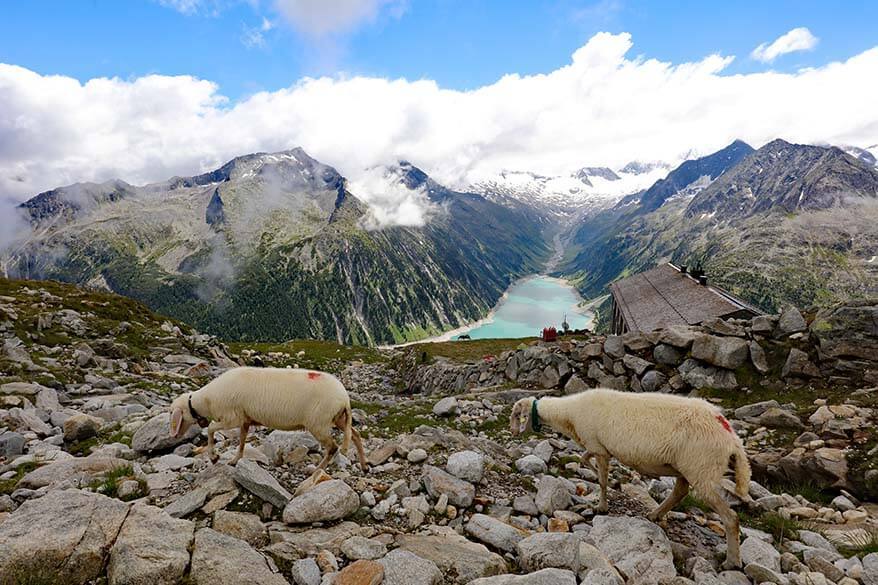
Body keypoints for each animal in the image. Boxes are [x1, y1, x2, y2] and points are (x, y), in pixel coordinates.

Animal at [170, 364, 366, 470]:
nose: (175, 435)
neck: (206, 400)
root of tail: (345, 398)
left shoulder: (231, 418)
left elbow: (211, 429)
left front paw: (214, 457)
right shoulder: (245, 419)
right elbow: (242, 440)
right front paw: (235, 460)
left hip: (319, 423)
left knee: (333, 447)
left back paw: (317, 470)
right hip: (338, 419)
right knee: (355, 435)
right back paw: (364, 466)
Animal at [512, 386, 752, 568]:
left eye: (516, 415)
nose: (513, 431)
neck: (568, 414)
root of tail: (730, 434)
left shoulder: (598, 448)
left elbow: (601, 480)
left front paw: (602, 506)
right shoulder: (597, 447)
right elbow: (583, 459)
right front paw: (610, 484)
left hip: (701, 470)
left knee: (731, 518)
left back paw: (732, 562)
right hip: (688, 468)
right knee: (680, 492)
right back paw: (655, 514)